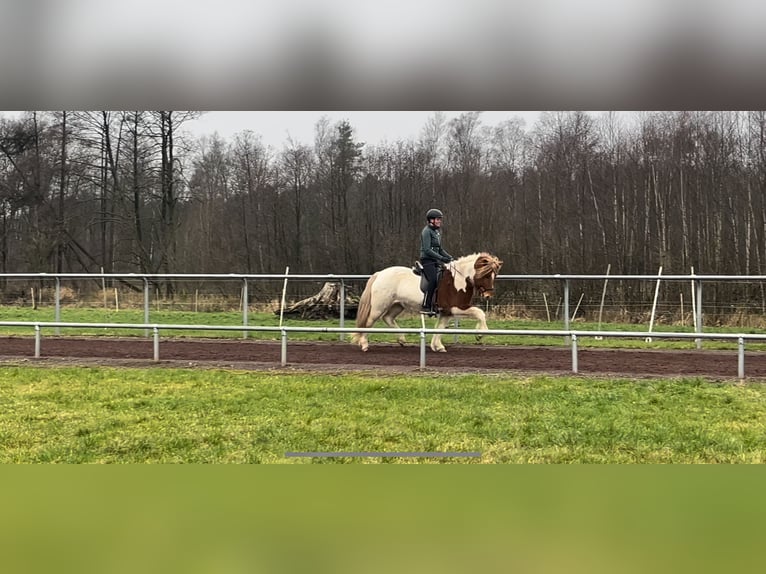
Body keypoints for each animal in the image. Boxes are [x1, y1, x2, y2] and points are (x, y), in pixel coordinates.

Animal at [352, 253, 504, 354]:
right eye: (486, 275)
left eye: (494, 275)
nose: (488, 295)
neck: (459, 280)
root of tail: (379, 274)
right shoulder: (456, 308)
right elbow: (480, 312)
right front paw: (480, 334)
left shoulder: (446, 312)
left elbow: (440, 328)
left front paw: (437, 346)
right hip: (379, 306)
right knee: (369, 322)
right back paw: (364, 344)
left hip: (397, 305)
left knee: (388, 318)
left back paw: (401, 339)